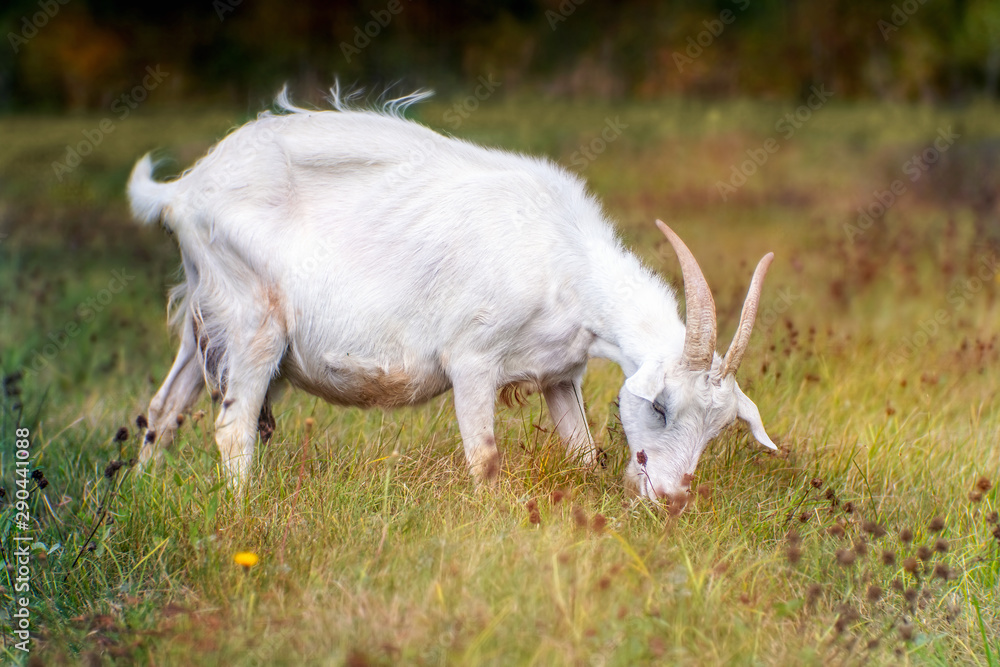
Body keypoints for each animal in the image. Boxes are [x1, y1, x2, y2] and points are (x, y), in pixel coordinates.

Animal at [128, 88, 777, 501]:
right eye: (661, 407)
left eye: (717, 429)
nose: (670, 498)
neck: (567, 260)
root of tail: (183, 191)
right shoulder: (472, 360)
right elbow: (485, 460)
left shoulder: (559, 375)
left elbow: (583, 452)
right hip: (252, 322)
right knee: (232, 429)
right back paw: (243, 518)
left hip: (204, 320)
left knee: (162, 411)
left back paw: (138, 495)